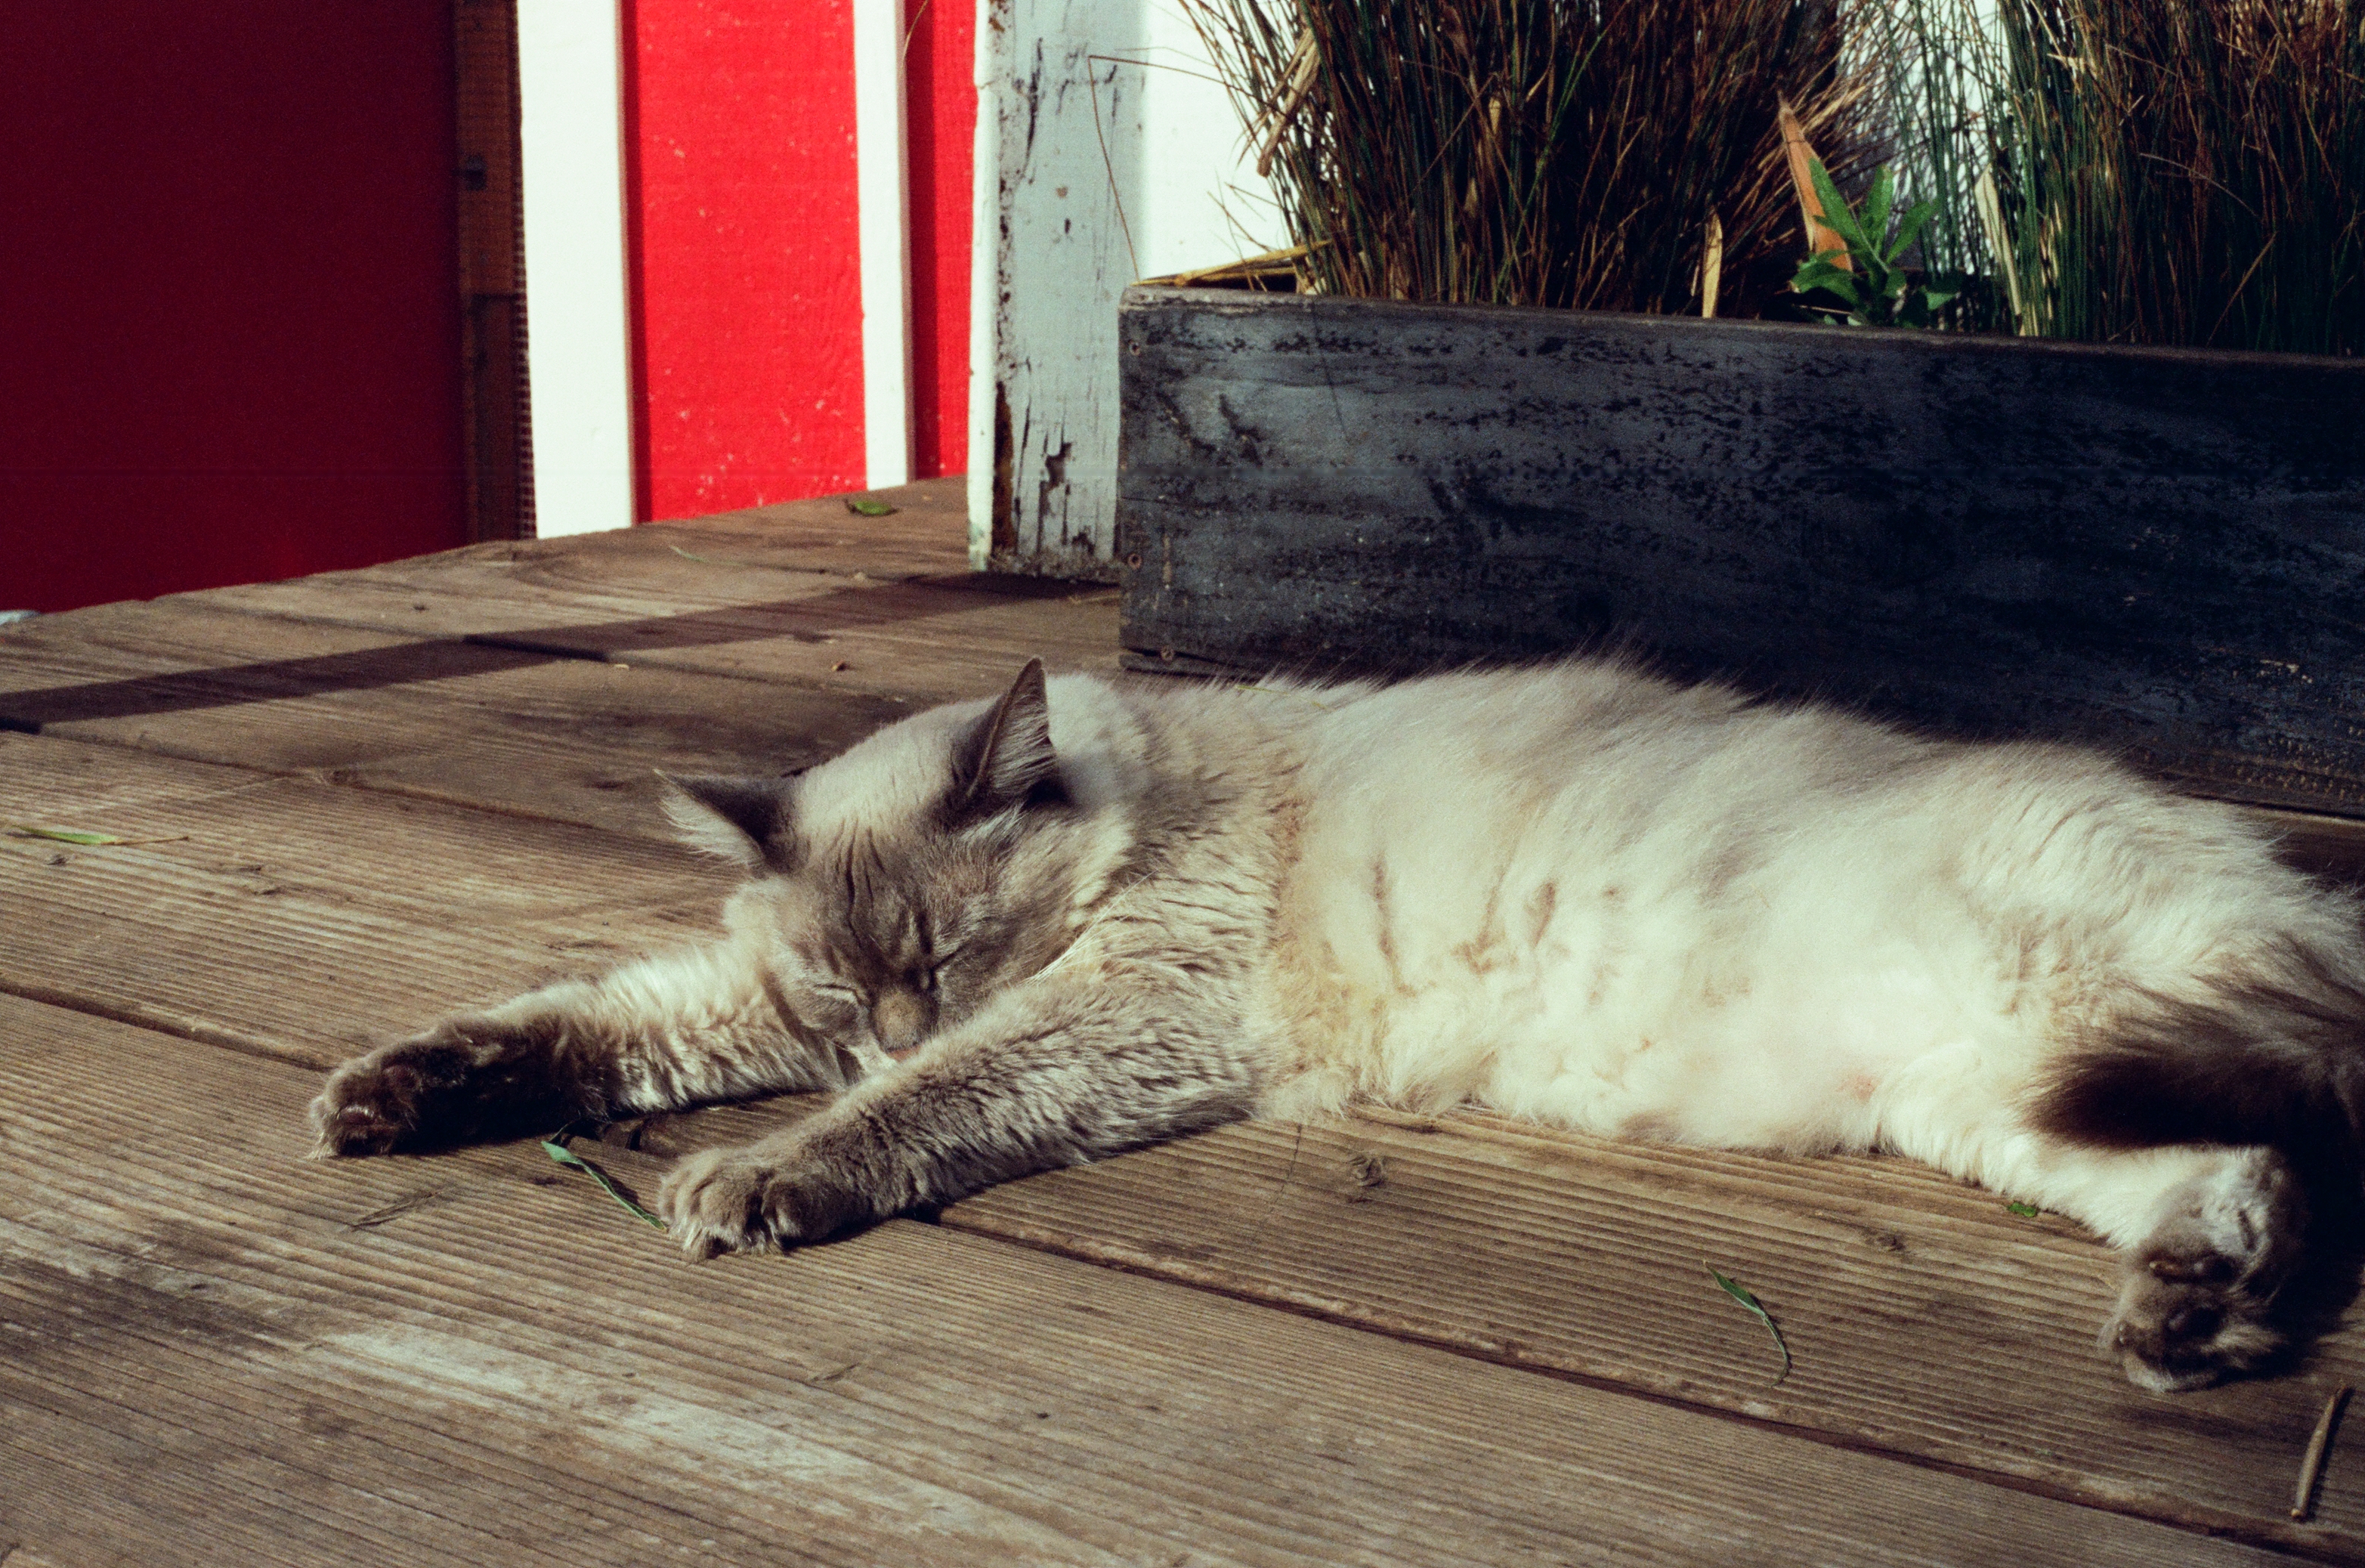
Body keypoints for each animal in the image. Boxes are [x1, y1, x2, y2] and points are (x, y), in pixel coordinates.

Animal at [310, 657, 2365, 1390]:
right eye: (845, 980)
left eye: (950, 956)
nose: (885, 1024)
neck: (1144, 788)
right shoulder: (737, 1003)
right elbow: (573, 1021)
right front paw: (380, 1097)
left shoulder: (1111, 1017)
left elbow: (902, 1114)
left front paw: (746, 1181)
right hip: (2005, 1101)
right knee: (2239, 1177)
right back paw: (2192, 1323)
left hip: (2060, 1035)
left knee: (2291, 1141)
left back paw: (2206, 1326)